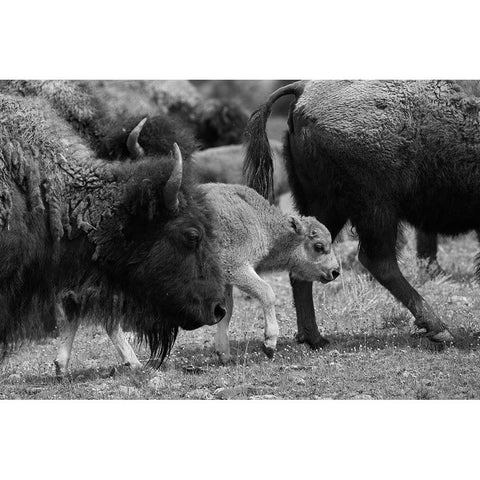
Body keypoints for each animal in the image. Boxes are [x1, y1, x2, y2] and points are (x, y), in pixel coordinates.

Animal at [201, 182, 340, 362]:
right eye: (318, 246)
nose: (335, 271)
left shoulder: (226, 280)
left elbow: (227, 310)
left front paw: (223, 354)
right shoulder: (236, 268)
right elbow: (267, 293)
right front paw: (269, 344)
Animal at [246, 79, 480, 348]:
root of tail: (302, 88)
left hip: (329, 207)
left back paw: (314, 338)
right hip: (375, 207)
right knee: (379, 260)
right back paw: (440, 330)